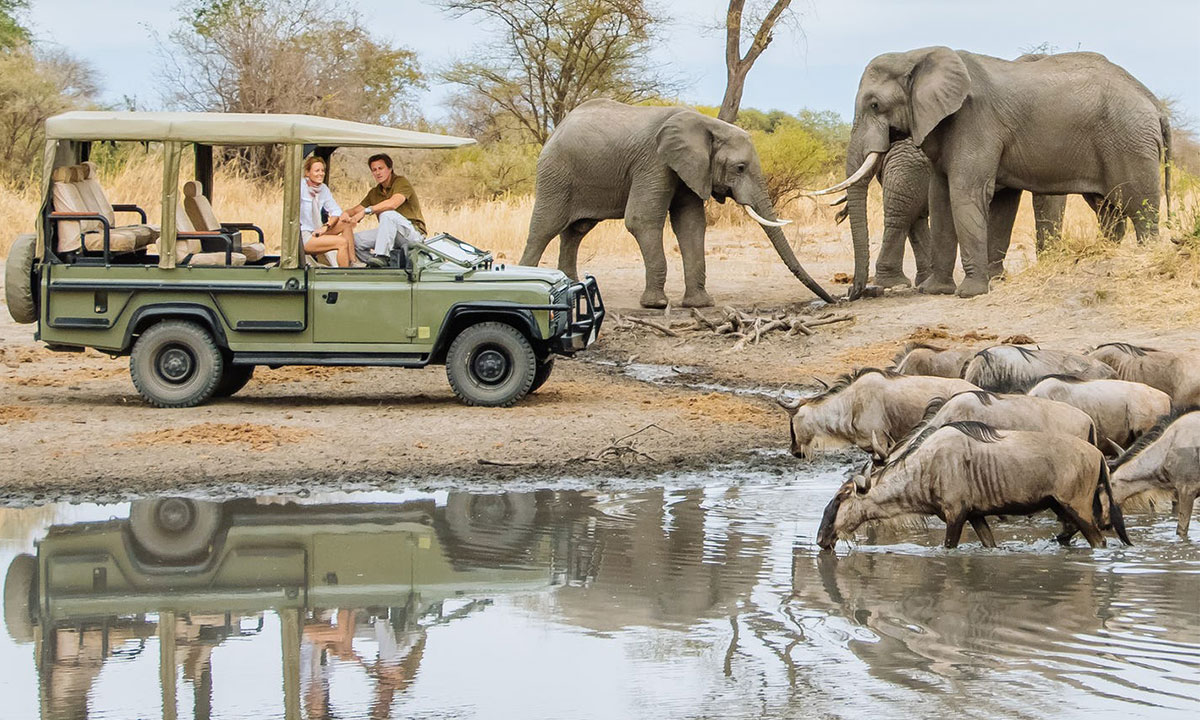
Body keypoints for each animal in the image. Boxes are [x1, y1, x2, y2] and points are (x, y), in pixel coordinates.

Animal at [516, 97, 835, 306]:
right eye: (740, 168)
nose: (832, 300)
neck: (708, 125)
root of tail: (558, 127)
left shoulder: (690, 168)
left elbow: (691, 223)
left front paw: (700, 304)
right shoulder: (654, 162)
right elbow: (642, 219)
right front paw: (656, 304)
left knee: (576, 231)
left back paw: (572, 288)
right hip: (556, 172)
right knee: (544, 227)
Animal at [820, 422, 1128, 552]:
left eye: (840, 498)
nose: (821, 539)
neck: (926, 466)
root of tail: (1098, 455)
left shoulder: (955, 516)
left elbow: (948, 548)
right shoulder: (976, 516)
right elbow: (990, 545)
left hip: (1075, 506)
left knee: (1098, 540)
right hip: (1060, 506)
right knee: (1070, 531)